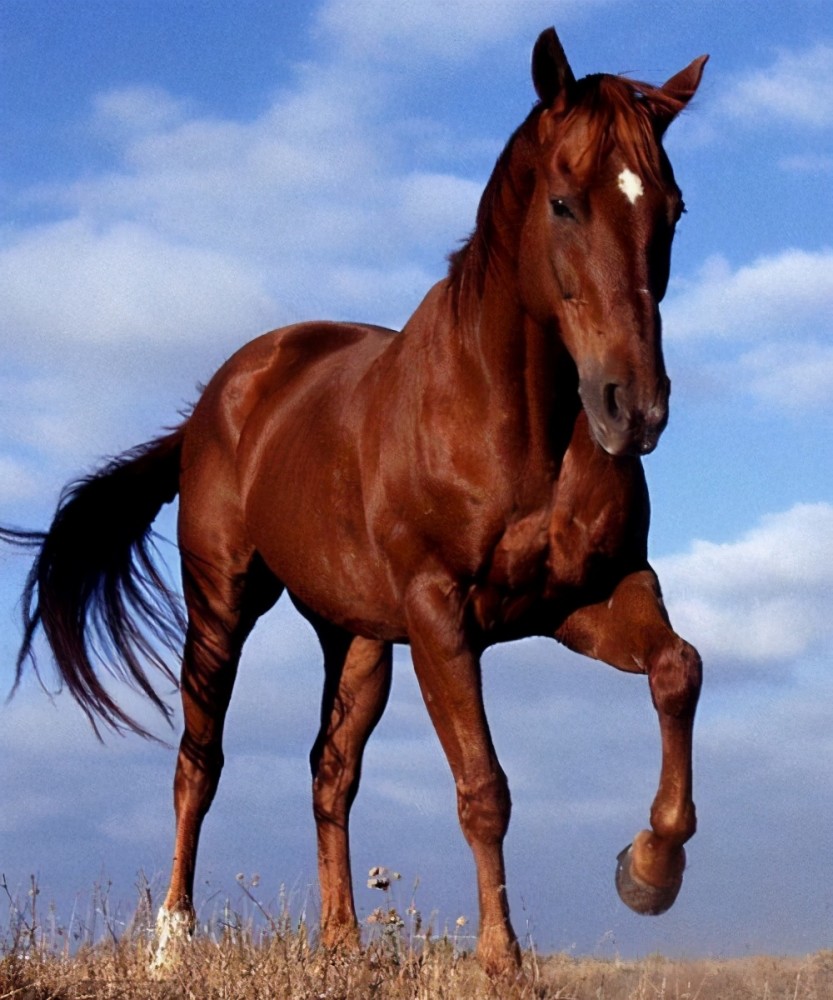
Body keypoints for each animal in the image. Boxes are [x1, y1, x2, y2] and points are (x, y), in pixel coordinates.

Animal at [3, 29, 708, 976]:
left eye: (670, 210)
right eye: (563, 204)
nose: (632, 408)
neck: (515, 420)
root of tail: (217, 399)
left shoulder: (589, 596)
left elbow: (678, 670)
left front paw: (648, 870)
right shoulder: (444, 615)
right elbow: (483, 786)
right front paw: (501, 960)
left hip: (357, 637)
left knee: (328, 769)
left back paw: (340, 944)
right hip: (222, 604)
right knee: (199, 762)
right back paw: (171, 943)